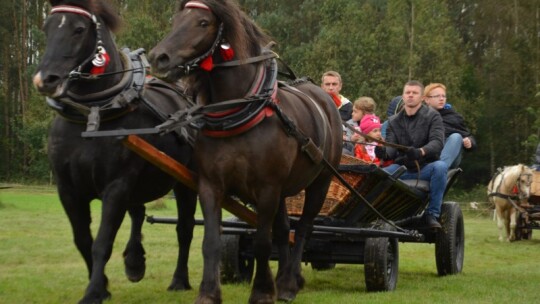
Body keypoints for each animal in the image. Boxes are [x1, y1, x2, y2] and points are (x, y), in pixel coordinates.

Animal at [31, 1, 197, 302]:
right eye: (46, 27)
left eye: (79, 29)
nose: (45, 80)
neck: (92, 115)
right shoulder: (67, 189)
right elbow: (83, 240)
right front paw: (105, 285)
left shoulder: (116, 186)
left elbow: (102, 241)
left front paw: (94, 291)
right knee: (138, 212)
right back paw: (134, 261)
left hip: (185, 182)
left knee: (185, 229)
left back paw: (179, 279)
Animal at [148, 1, 342, 302]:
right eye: (175, 20)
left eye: (203, 23)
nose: (159, 58)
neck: (240, 112)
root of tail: (325, 98)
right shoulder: (210, 185)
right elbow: (211, 241)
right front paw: (209, 292)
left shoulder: (267, 188)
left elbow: (262, 242)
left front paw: (262, 291)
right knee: (284, 229)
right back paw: (284, 279)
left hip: (320, 182)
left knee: (303, 229)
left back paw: (288, 284)